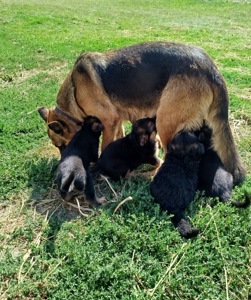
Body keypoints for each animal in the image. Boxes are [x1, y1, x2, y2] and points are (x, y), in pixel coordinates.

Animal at [38, 41, 246, 184]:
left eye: (60, 146)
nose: (60, 166)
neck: (74, 93)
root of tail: (211, 68)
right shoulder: (116, 121)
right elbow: (118, 136)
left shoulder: (108, 120)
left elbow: (105, 146)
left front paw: (103, 168)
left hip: (165, 122)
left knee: (167, 158)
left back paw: (151, 174)